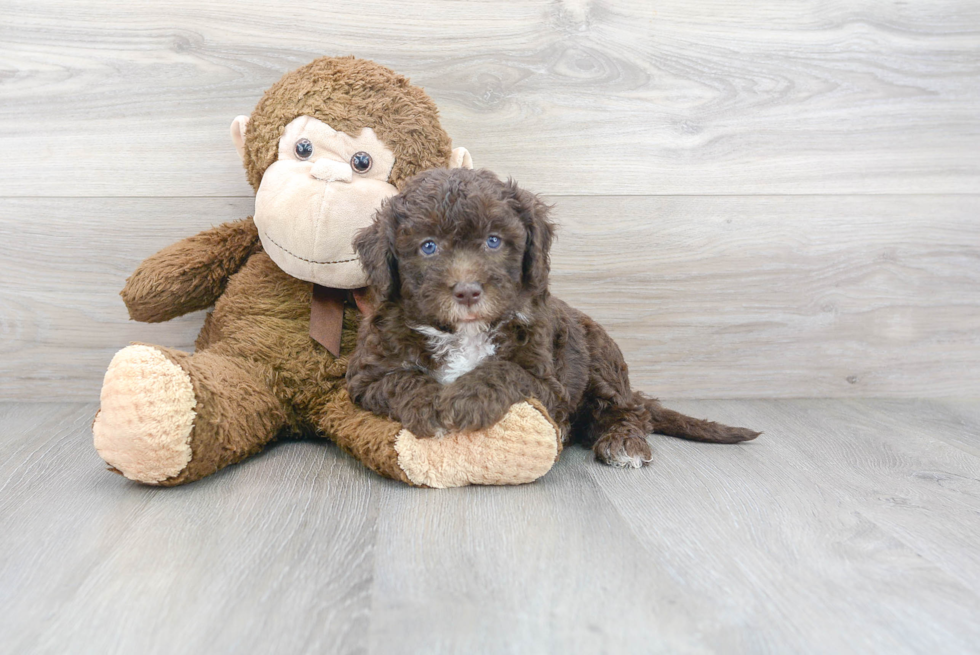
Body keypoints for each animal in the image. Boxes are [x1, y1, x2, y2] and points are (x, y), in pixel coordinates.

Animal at [348, 168, 760, 466]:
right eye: (428, 246)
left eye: (494, 241)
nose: (467, 291)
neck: (465, 332)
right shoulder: (366, 377)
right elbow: (400, 380)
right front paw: (428, 405)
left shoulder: (549, 382)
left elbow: (504, 370)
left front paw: (466, 399)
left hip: (601, 358)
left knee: (630, 410)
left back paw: (622, 442)